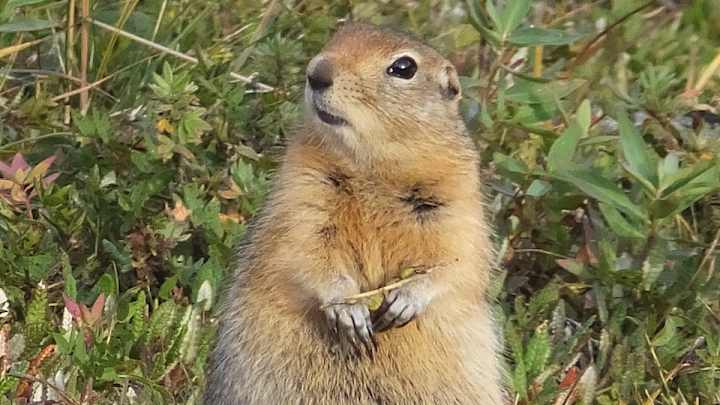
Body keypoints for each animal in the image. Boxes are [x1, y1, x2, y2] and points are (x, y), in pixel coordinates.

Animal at [204, 22, 505, 404]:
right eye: (340, 32)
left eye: (404, 67)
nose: (317, 73)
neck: (373, 168)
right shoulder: (302, 191)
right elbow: (304, 249)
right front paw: (349, 310)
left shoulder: (458, 200)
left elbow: (456, 262)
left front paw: (404, 301)